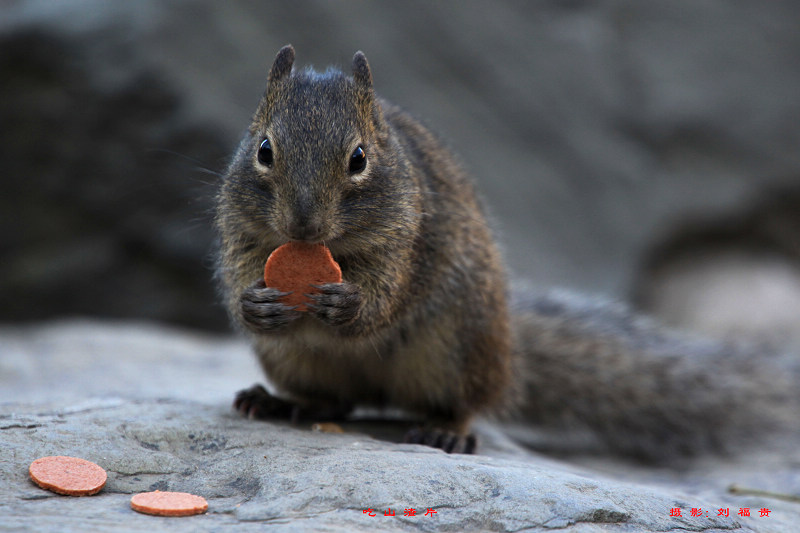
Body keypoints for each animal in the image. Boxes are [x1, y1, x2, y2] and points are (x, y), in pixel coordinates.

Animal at [216, 46, 796, 462]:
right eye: (263, 150)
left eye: (359, 158)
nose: (303, 225)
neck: (329, 250)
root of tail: (511, 354)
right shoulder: (240, 233)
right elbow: (239, 274)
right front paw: (255, 304)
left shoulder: (410, 241)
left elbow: (387, 296)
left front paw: (349, 304)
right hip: (294, 359)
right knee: (332, 400)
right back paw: (280, 402)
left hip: (458, 347)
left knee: (465, 404)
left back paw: (446, 431)